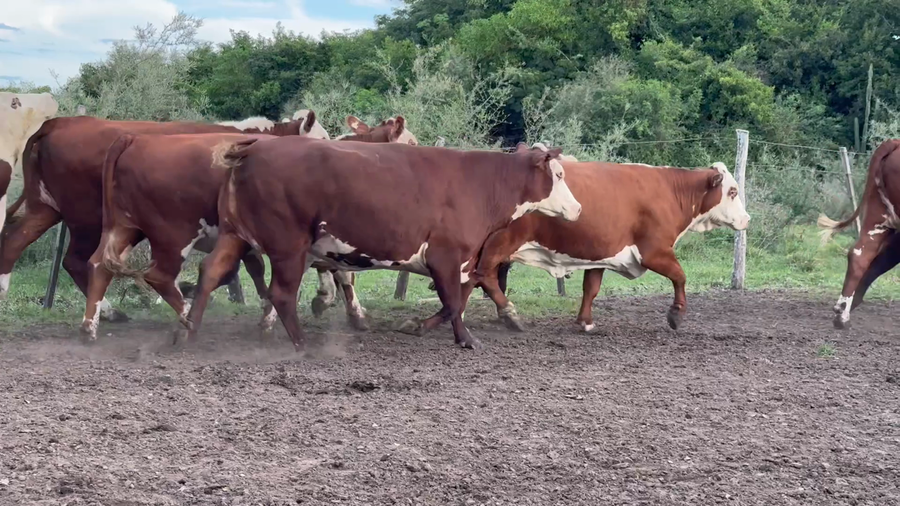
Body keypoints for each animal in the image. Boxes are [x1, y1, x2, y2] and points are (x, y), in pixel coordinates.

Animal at [0, 113, 323, 316]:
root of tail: (57, 123)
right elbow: (247, 267)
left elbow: (246, 268)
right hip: (86, 218)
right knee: (76, 261)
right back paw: (111, 312)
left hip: (46, 208)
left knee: (13, 244)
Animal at [82, 116, 418, 339]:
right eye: (412, 142)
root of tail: (135, 139)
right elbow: (338, 274)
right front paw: (341, 309)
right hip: (173, 235)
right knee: (160, 276)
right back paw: (187, 316)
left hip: (124, 228)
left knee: (99, 265)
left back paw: (90, 326)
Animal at [180, 138, 582, 351]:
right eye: (559, 174)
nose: (577, 208)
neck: (481, 182)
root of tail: (255, 147)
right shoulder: (445, 255)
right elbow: (453, 303)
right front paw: (440, 332)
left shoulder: (464, 262)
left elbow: (458, 301)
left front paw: (452, 334)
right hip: (288, 246)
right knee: (280, 294)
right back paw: (301, 344)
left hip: (234, 235)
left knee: (210, 272)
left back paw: (186, 333)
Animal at [447, 143, 749, 334]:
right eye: (732, 191)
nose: (747, 219)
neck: (669, 191)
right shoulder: (654, 251)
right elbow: (680, 276)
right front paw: (676, 315)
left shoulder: (601, 253)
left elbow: (591, 288)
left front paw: (586, 322)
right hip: (499, 244)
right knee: (483, 276)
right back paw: (508, 314)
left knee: (469, 280)